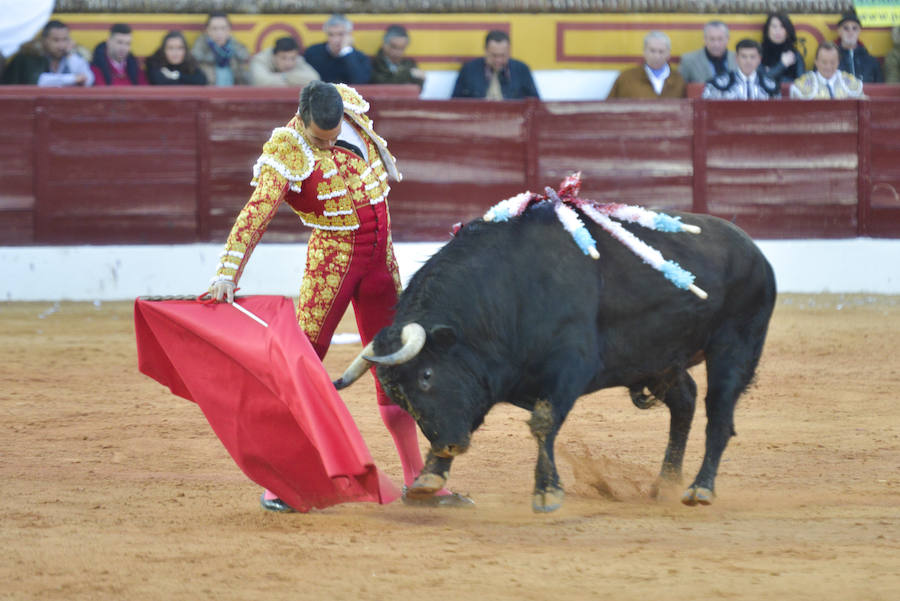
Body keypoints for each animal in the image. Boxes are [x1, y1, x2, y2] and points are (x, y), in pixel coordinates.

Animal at [334, 205, 776, 510]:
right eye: (398, 395)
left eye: (426, 375)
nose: (448, 447)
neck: (507, 291)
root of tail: (753, 249)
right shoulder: (490, 381)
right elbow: (478, 416)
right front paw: (429, 477)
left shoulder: (569, 368)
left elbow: (543, 424)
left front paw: (547, 493)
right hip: (660, 359)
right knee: (684, 402)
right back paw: (665, 484)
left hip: (734, 347)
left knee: (718, 416)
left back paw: (699, 488)